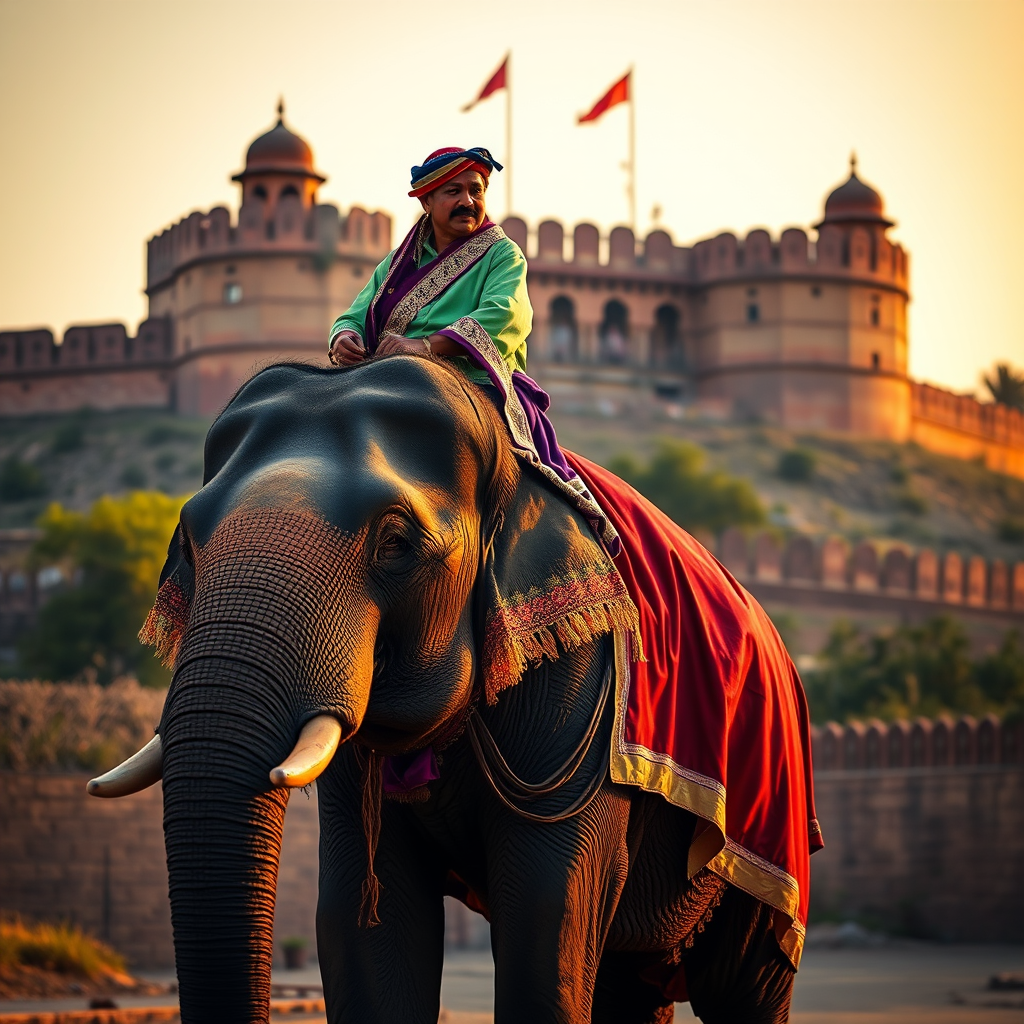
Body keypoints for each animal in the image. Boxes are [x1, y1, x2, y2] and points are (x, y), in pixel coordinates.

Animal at [90, 355, 804, 1024]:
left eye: (396, 543)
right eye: (187, 541)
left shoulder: (579, 674)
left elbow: (549, 904)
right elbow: (361, 913)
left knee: (746, 987)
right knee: (634, 983)